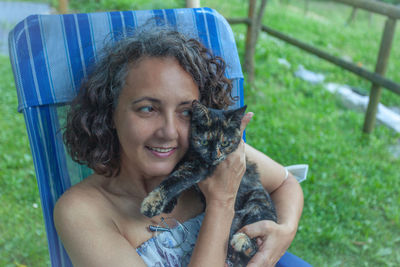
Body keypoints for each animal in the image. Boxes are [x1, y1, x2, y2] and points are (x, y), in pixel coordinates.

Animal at [141, 100, 278, 266]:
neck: (194, 154)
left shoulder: (200, 168)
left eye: (224, 143)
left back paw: (242, 240)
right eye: (204, 141)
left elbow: (176, 180)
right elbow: (175, 172)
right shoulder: (186, 159)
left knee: (255, 246)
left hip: (257, 204)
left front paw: (151, 204)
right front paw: (169, 204)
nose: (214, 156)